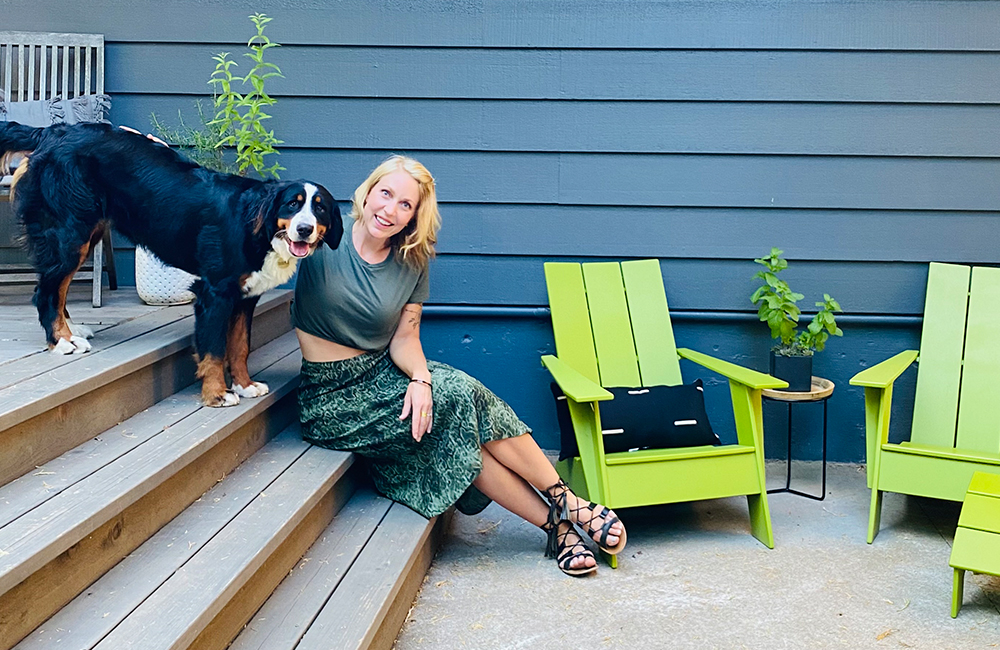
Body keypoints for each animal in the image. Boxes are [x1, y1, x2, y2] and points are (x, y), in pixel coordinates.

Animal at [0, 119, 344, 404]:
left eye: (320, 208)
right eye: (292, 205)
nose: (304, 229)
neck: (256, 227)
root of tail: (52, 132)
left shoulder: (245, 297)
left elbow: (239, 346)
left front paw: (245, 385)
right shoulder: (214, 293)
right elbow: (214, 349)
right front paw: (217, 394)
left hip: (88, 232)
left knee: (58, 290)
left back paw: (73, 331)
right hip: (70, 234)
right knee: (45, 292)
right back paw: (61, 342)